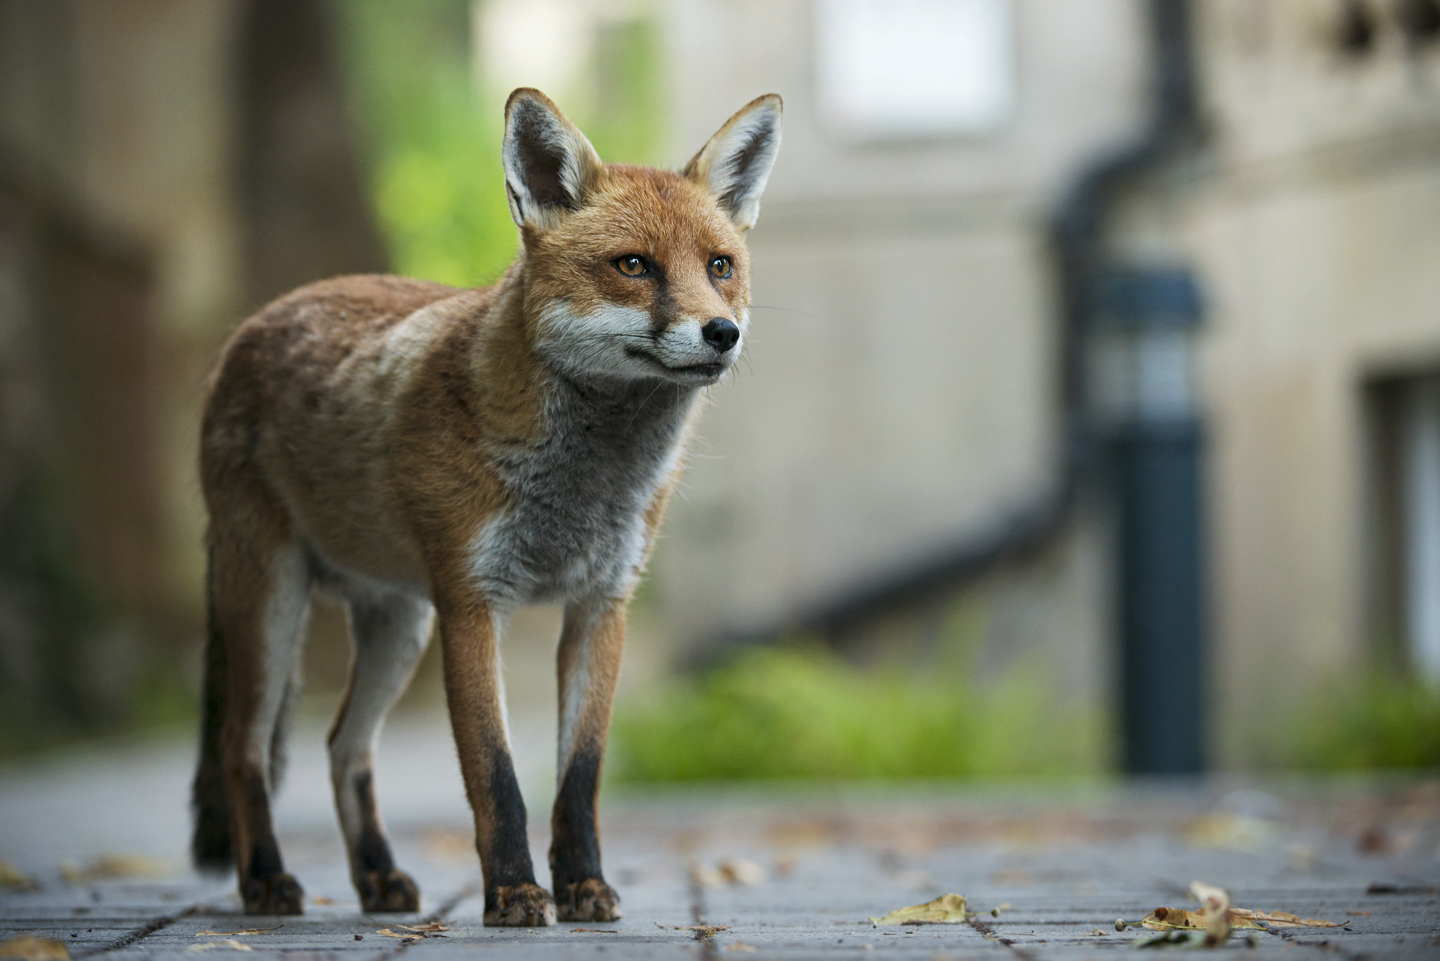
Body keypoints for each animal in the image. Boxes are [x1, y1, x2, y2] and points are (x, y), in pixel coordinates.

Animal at [187, 88, 783, 922]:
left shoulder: (602, 605)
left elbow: (580, 775)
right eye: (633, 265)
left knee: (344, 745)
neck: (581, 486)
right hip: (270, 605)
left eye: (719, 266)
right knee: (242, 746)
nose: (722, 333)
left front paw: (584, 885)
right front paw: (513, 891)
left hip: (398, 624)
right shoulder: (473, 605)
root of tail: (254, 322)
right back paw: (266, 879)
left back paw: (377, 876)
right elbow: (495, 773)